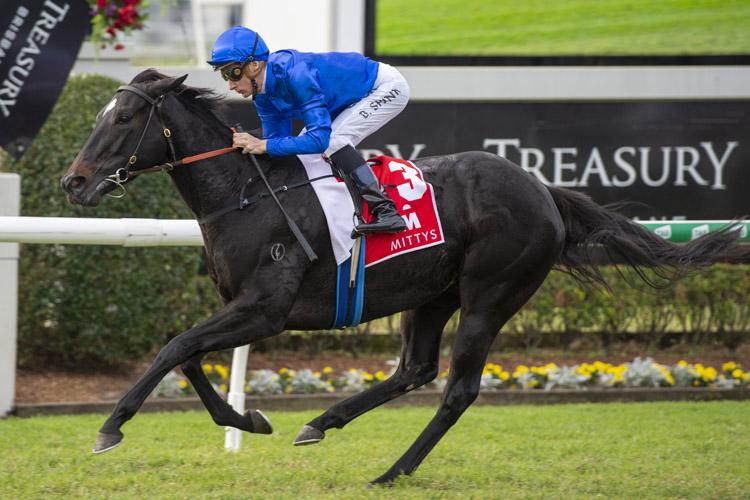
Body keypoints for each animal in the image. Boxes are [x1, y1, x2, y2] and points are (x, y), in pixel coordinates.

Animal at [61, 70, 748, 484]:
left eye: (122, 120)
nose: (73, 180)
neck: (245, 193)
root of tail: (544, 191)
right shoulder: (240, 308)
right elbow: (188, 356)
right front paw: (250, 420)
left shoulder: (266, 309)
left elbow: (174, 347)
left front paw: (110, 427)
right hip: (431, 295)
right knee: (414, 369)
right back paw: (322, 423)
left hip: (489, 296)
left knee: (457, 390)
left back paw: (393, 469)